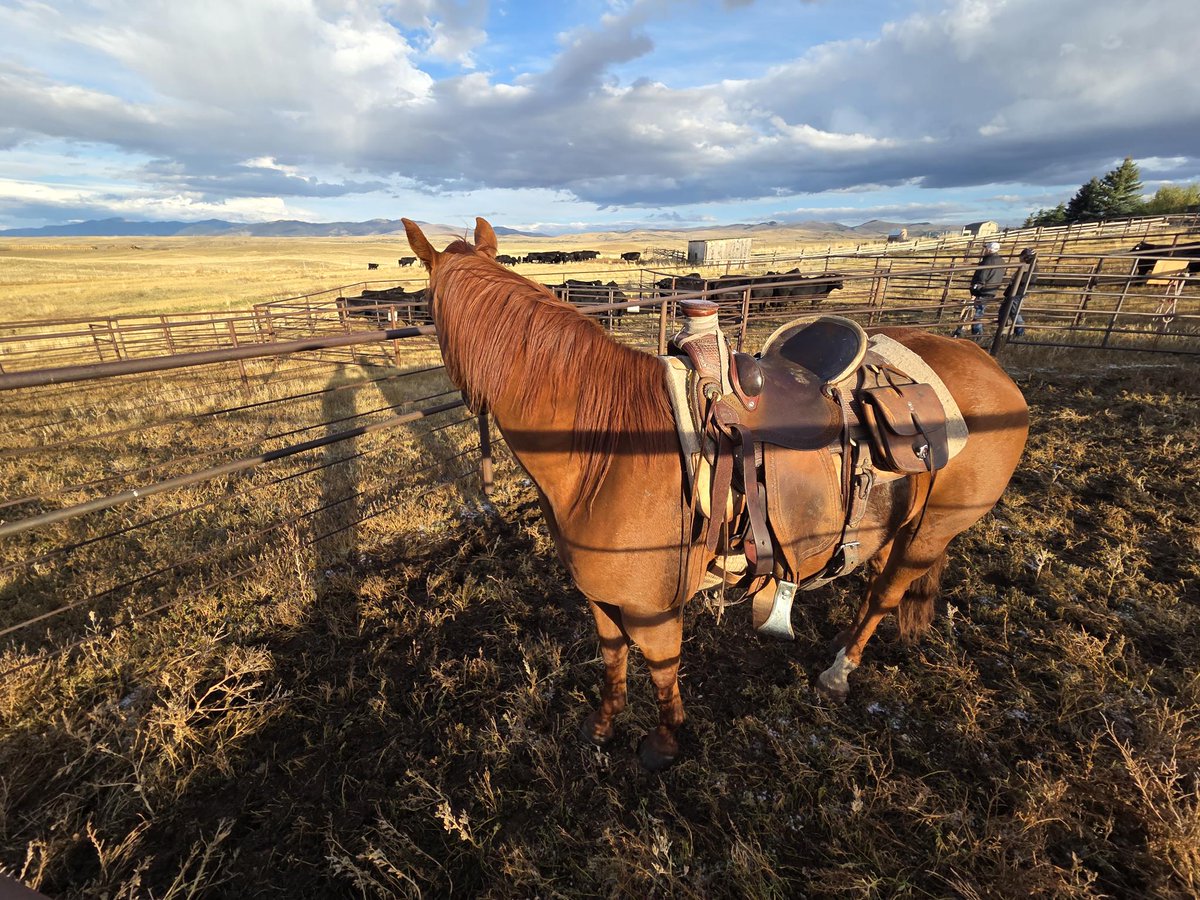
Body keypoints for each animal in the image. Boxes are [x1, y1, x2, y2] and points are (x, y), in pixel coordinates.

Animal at [402, 217, 1029, 770]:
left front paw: (665, 742)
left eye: (427, 308)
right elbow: (611, 656)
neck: (602, 451)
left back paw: (838, 670)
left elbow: (661, 665)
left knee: (886, 595)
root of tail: (989, 364)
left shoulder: (652, 607)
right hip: (894, 522)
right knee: (875, 579)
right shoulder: (600, 597)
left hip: (934, 529)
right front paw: (602, 726)